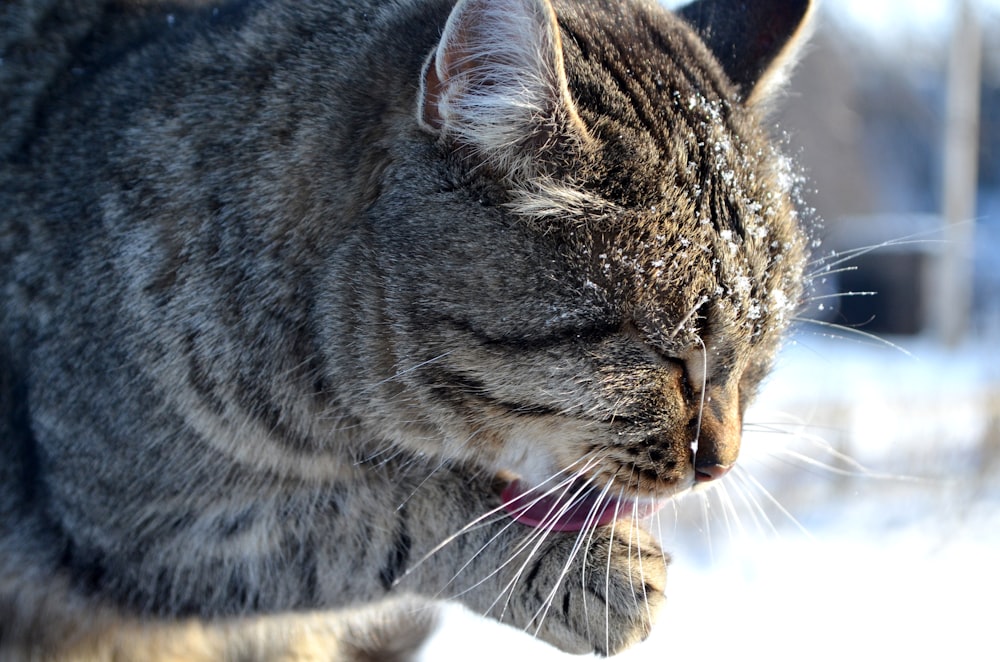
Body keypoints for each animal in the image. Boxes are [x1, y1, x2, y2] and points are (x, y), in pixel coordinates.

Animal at [0, 0, 812, 660]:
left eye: (755, 364)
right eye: (666, 355)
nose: (720, 465)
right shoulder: (130, 523)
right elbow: (390, 519)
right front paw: (571, 569)